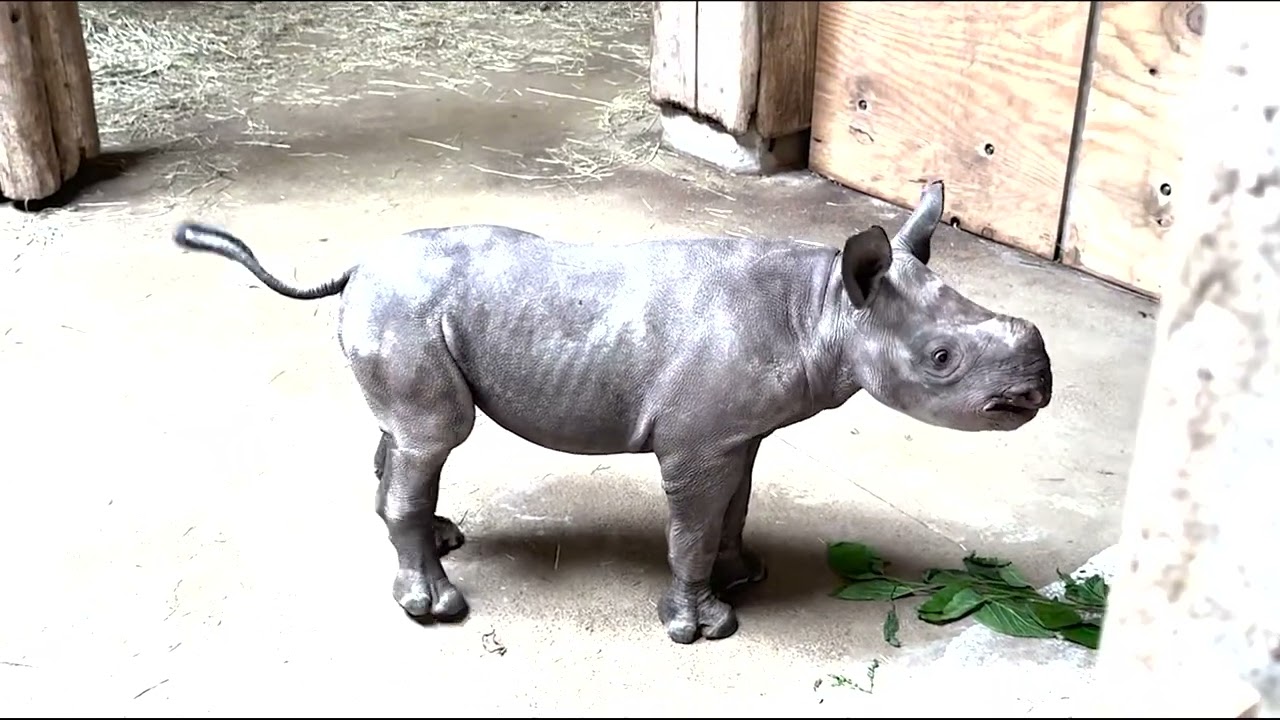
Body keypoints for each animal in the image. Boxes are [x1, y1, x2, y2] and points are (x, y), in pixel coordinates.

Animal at [173, 180, 1052, 645]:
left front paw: (745, 575)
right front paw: (702, 627)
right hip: (406, 312)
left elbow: (733, 507)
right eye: (942, 359)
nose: (1038, 389)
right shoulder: (695, 444)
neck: (826, 304)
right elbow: (691, 526)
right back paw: (437, 608)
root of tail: (356, 268)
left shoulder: (736, 431)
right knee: (437, 436)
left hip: (402, 313)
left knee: (406, 437)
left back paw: (439, 539)